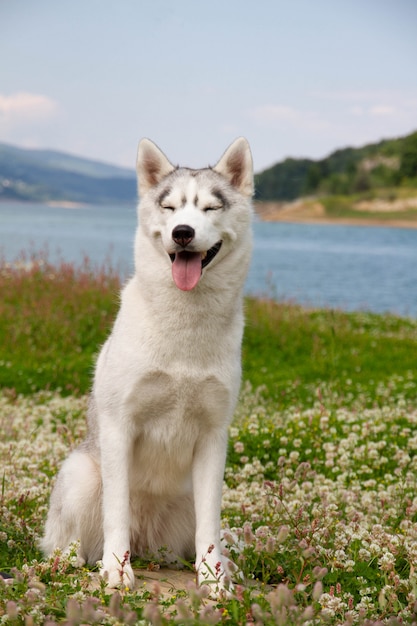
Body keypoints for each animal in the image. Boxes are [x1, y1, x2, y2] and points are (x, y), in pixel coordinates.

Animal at [40, 135, 252, 588]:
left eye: (211, 207)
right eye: (169, 207)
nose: (183, 233)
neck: (186, 330)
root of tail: (147, 543)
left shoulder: (214, 436)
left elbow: (210, 527)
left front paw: (212, 579)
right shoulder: (120, 426)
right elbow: (115, 513)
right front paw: (116, 570)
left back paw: (224, 564)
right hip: (81, 475)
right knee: (70, 541)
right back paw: (71, 561)